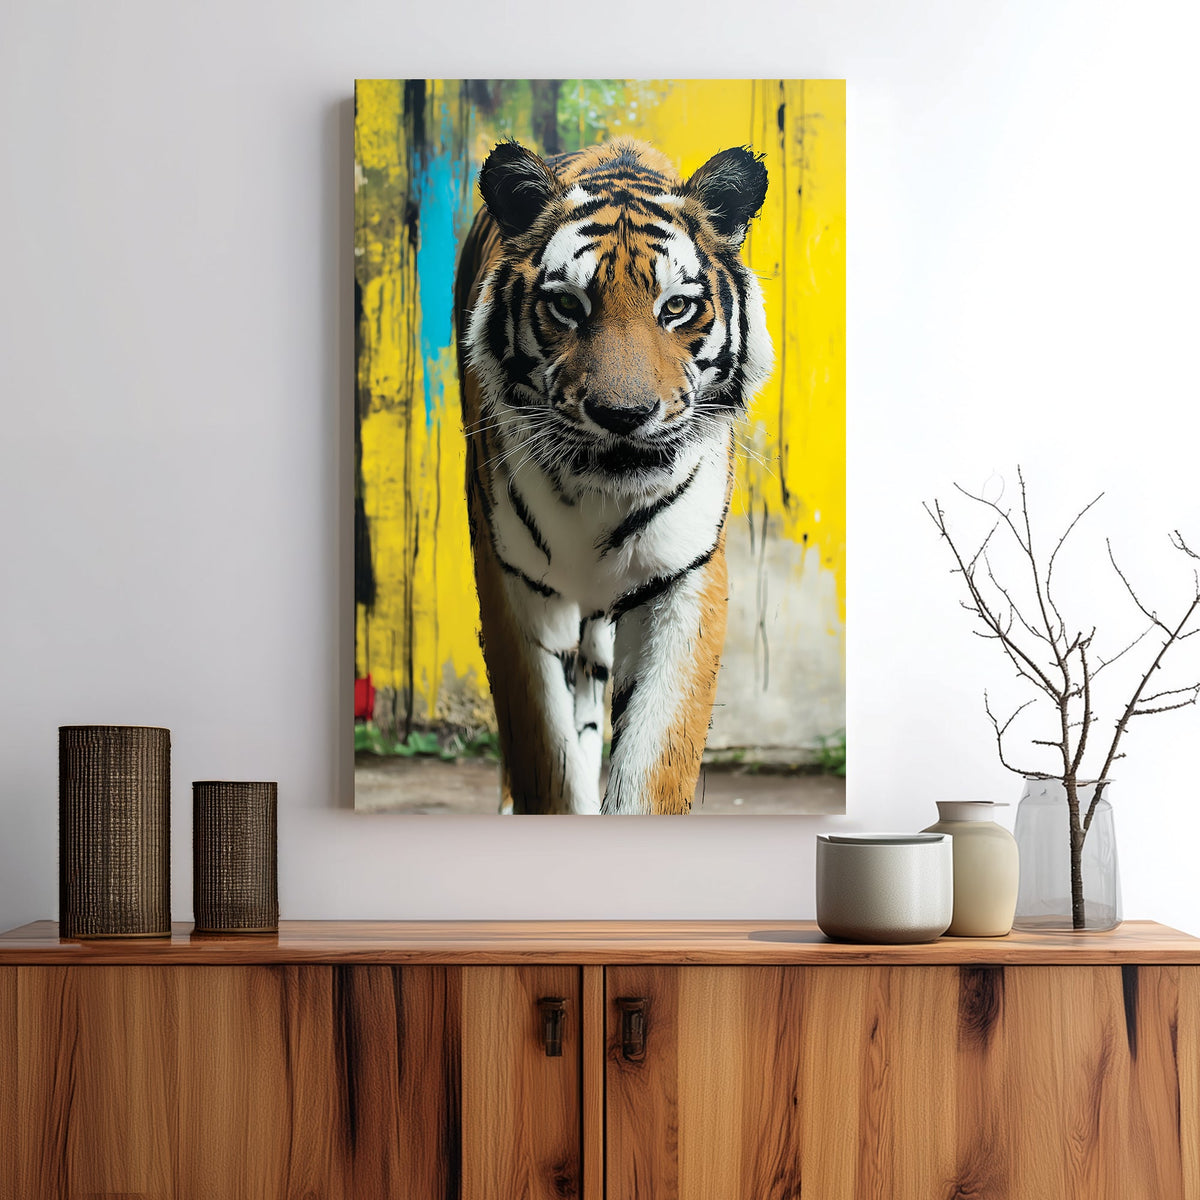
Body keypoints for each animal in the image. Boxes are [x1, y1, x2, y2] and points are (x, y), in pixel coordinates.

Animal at [453, 137, 772, 815]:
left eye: (676, 307)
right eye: (567, 305)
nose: (623, 415)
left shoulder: (685, 578)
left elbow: (653, 764)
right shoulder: (512, 583)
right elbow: (545, 758)